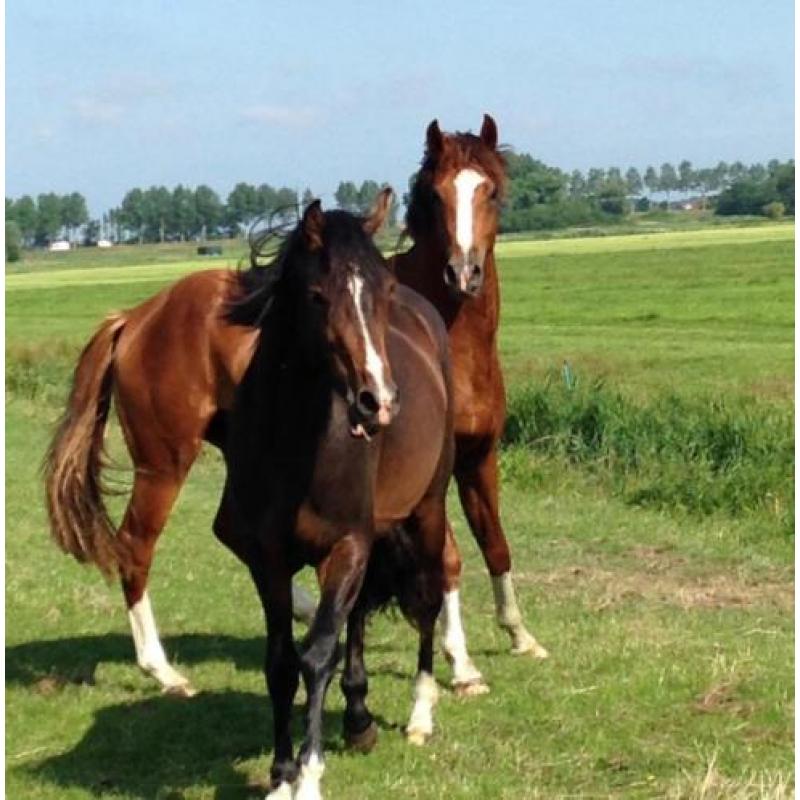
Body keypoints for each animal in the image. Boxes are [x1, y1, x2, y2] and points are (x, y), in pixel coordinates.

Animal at [222, 197, 454, 796]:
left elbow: (317, 654)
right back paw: (358, 718)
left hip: (427, 510)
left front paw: (308, 773)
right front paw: (280, 773)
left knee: (426, 601)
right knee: (358, 615)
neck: (294, 440)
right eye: (317, 295)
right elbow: (282, 661)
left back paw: (420, 713)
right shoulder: (268, 559)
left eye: (385, 289)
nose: (379, 401)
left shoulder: (346, 544)